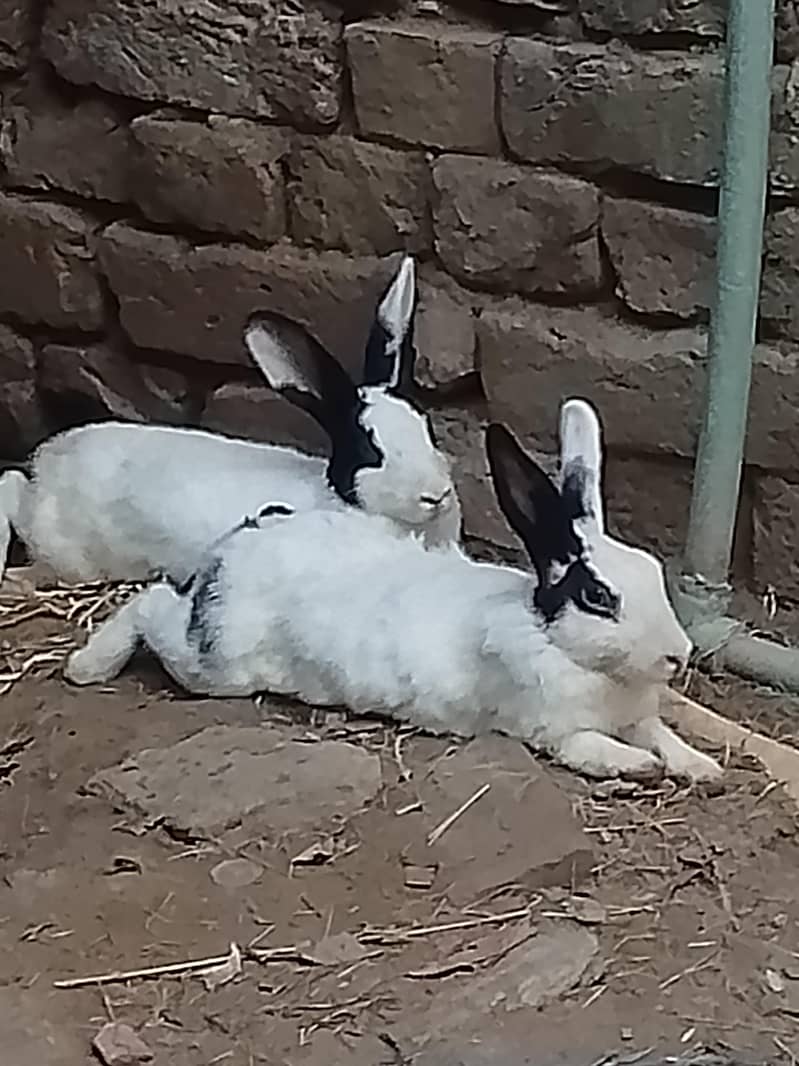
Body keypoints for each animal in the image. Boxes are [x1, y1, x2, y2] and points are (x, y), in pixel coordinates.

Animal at [64, 397, 722, 784]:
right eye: (598, 598)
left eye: (652, 571)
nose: (679, 655)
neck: (562, 646)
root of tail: (246, 538)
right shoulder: (549, 727)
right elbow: (594, 748)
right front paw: (641, 768)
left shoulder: (639, 714)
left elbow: (663, 734)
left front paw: (704, 766)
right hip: (217, 666)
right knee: (150, 603)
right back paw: (86, 667)